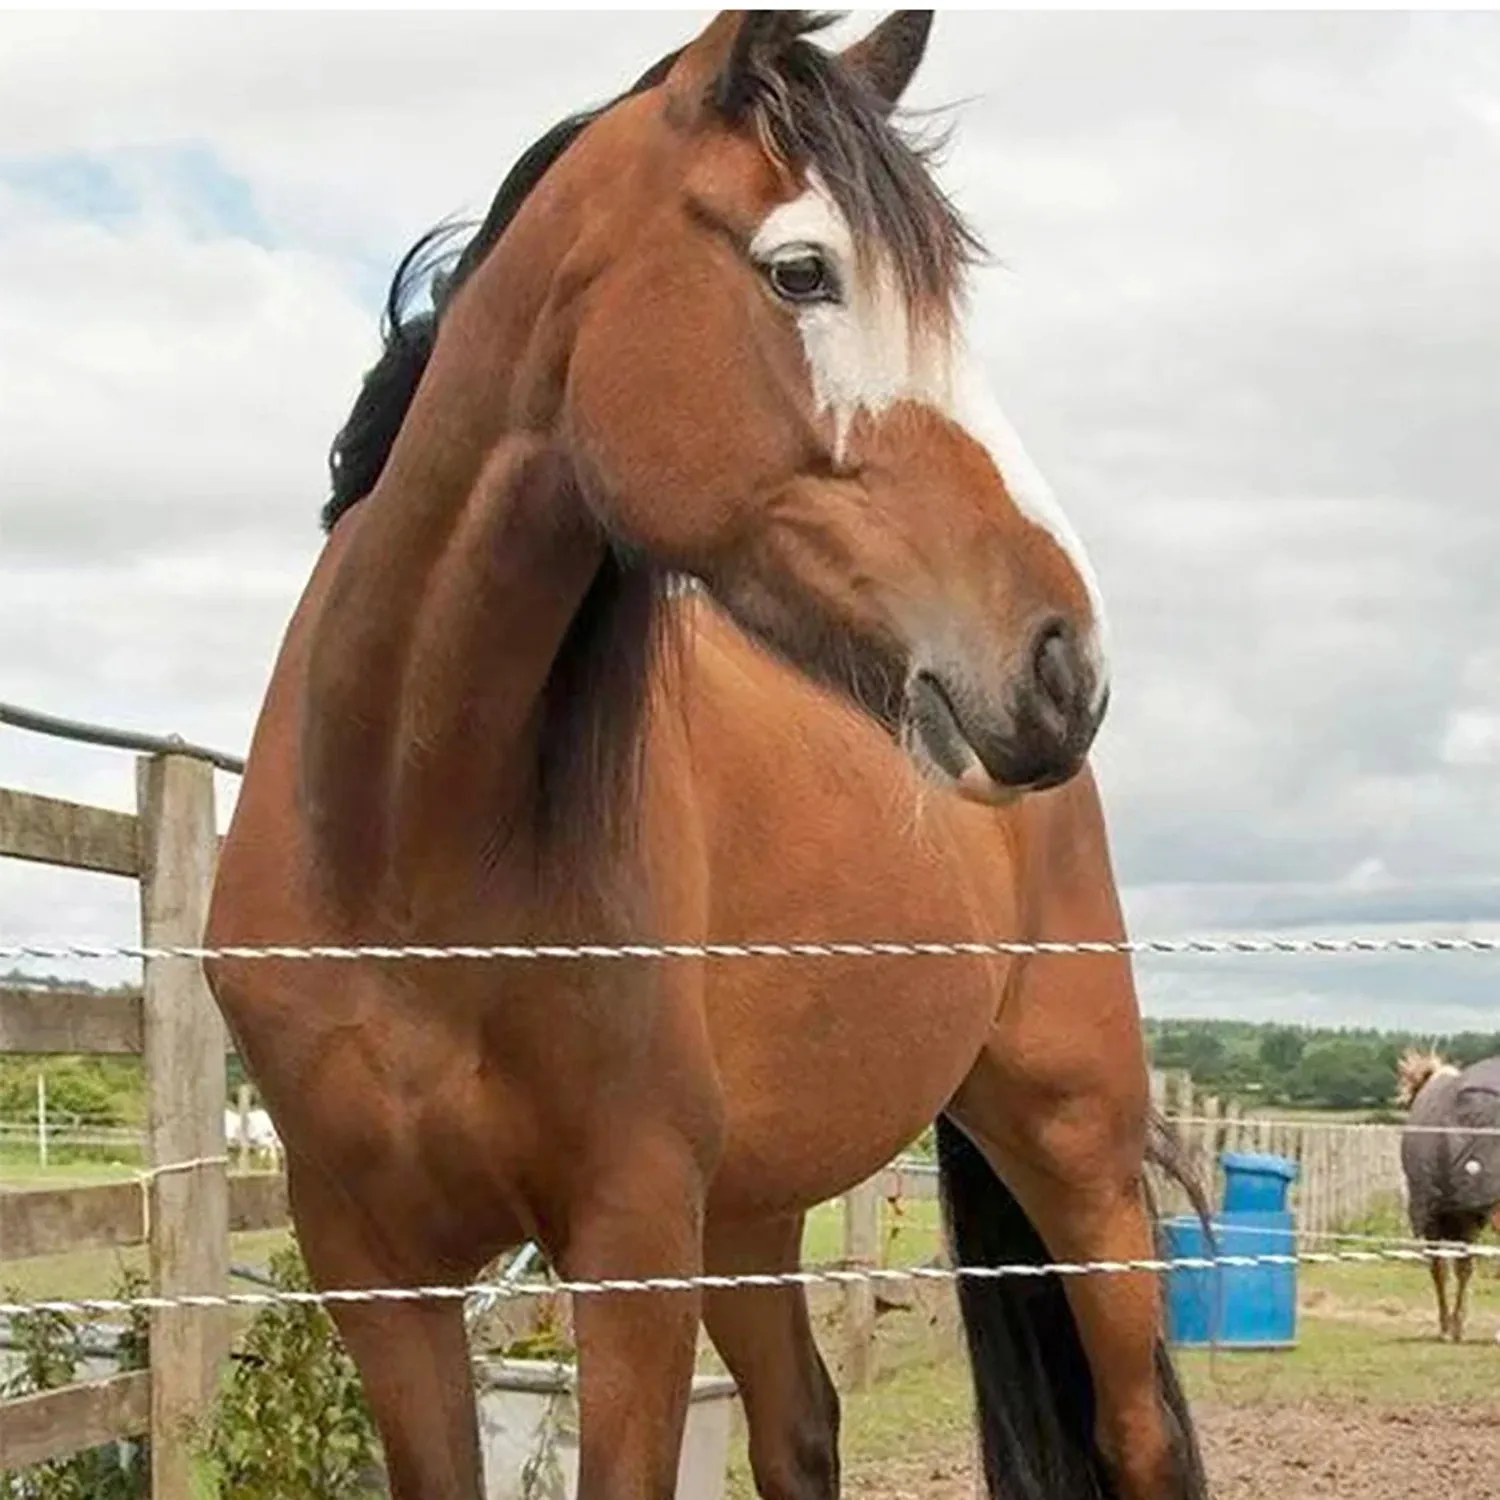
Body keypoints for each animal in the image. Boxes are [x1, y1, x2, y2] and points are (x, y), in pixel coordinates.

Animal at [204, 13, 1210, 1499]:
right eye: (802, 272)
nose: (1061, 663)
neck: (399, 848)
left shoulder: (632, 1251)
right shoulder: (376, 1270)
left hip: (1073, 1151)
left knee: (1133, 1432)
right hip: (750, 1215)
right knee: (801, 1427)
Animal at [1397, 1048, 1500, 1342]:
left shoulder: (1440, 1215)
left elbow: (1445, 1267)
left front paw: (1449, 1325)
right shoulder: (1461, 1219)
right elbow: (1456, 1268)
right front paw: (1454, 1325)